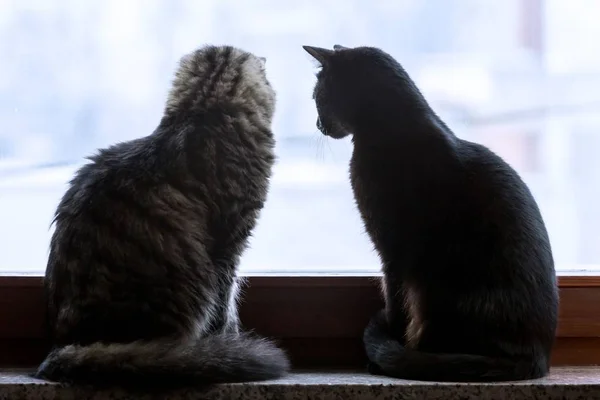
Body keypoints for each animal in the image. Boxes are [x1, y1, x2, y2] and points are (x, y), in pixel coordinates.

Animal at [304, 45, 556, 382]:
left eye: (317, 97)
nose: (318, 124)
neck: (391, 129)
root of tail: (537, 357)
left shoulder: (392, 253)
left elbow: (395, 304)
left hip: (435, 291)